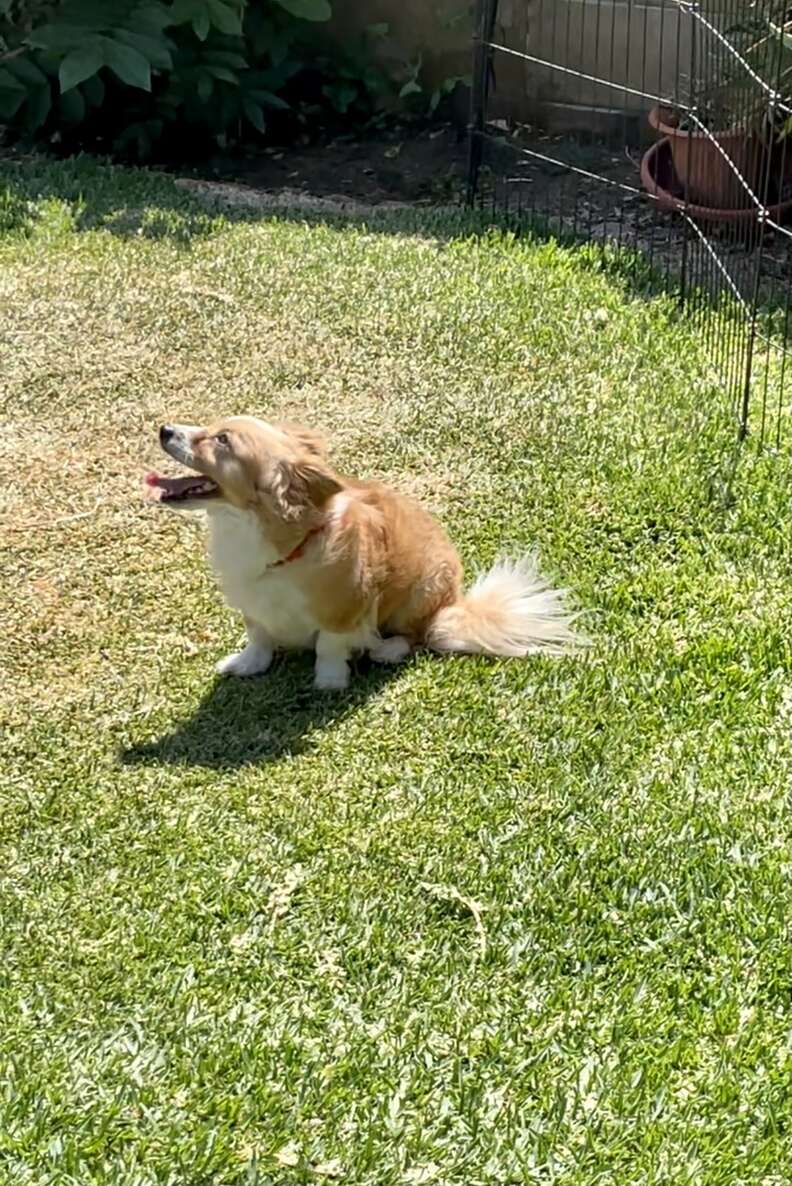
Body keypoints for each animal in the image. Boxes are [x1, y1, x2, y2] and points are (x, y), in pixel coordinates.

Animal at [147, 417, 580, 692]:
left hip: (420, 592)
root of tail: (454, 603)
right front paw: (247, 665)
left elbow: (328, 645)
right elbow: (259, 636)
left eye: (222, 441)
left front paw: (329, 682)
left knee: (418, 636)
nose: (164, 429)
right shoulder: (250, 601)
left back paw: (386, 648)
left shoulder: (345, 608)